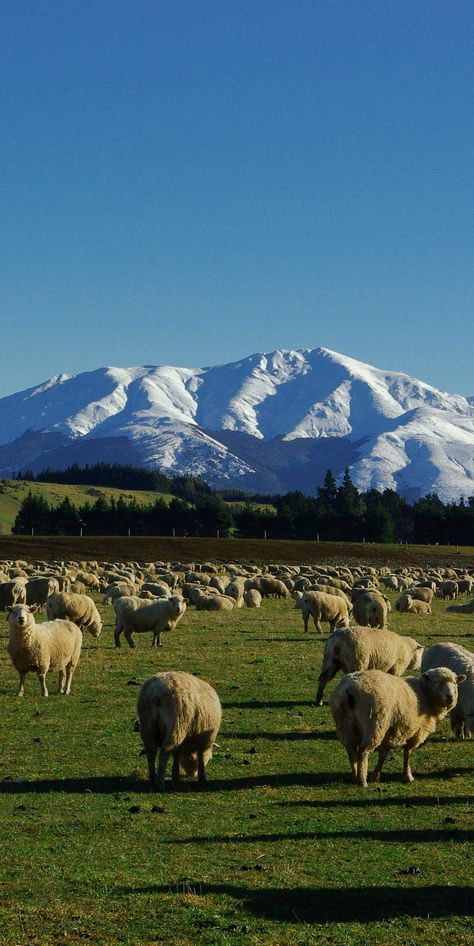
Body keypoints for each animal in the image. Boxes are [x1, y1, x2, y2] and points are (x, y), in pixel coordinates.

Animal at [328, 660, 464, 784]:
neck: (425, 694)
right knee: (362, 751)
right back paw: (362, 780)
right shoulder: (416, 732)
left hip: (345, 724)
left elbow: (383, 755)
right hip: (374, 724)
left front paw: (375, 775)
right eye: (436, 682)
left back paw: (355, 775)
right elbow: (407, 754)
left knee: (351, 750)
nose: (450, 697)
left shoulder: (389, 732)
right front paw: (408, 776)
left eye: (455, 682)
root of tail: (349, 689)